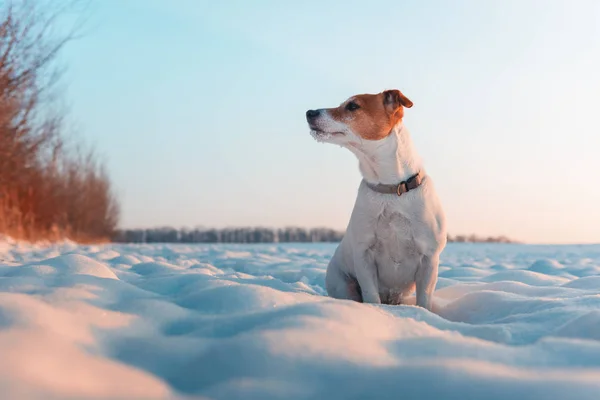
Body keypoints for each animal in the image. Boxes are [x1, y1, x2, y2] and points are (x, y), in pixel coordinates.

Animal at [308, 90, 448, 310]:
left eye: (353, 106)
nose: (309, 113)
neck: (390, 189)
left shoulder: (429, 258)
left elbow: (424, 298)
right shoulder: (364, 254)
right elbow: (371, 295)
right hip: (343, 284)